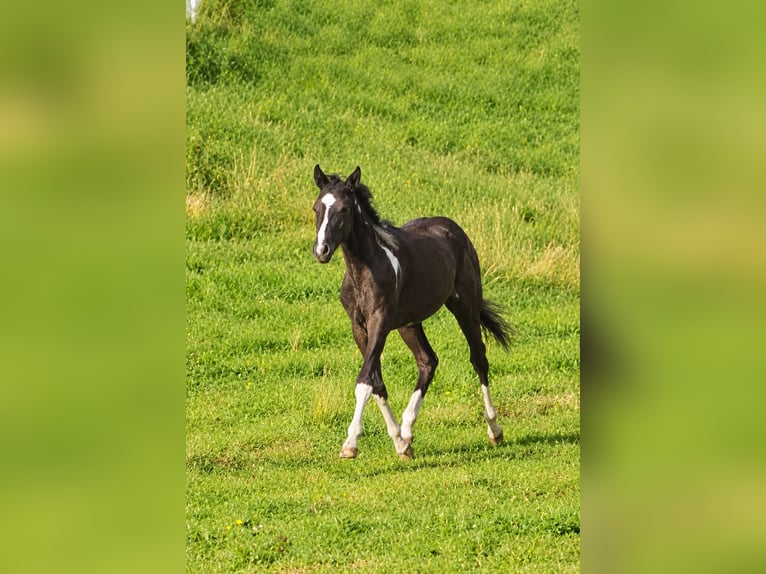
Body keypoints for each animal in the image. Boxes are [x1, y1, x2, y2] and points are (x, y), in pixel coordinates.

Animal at [311, 164, 512, 459]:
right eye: (317, 208)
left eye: (344, 209)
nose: (321, 251)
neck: (365, 268)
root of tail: (454, 229)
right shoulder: (359, 327)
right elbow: (377, 383)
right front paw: (400, 443)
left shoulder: (380, 322)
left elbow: (364, 381)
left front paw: (350, 444)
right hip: (410, 323)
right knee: (428, 361)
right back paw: (407, 430)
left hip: (465, 308)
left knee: (479, 359)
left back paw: (494, 430)